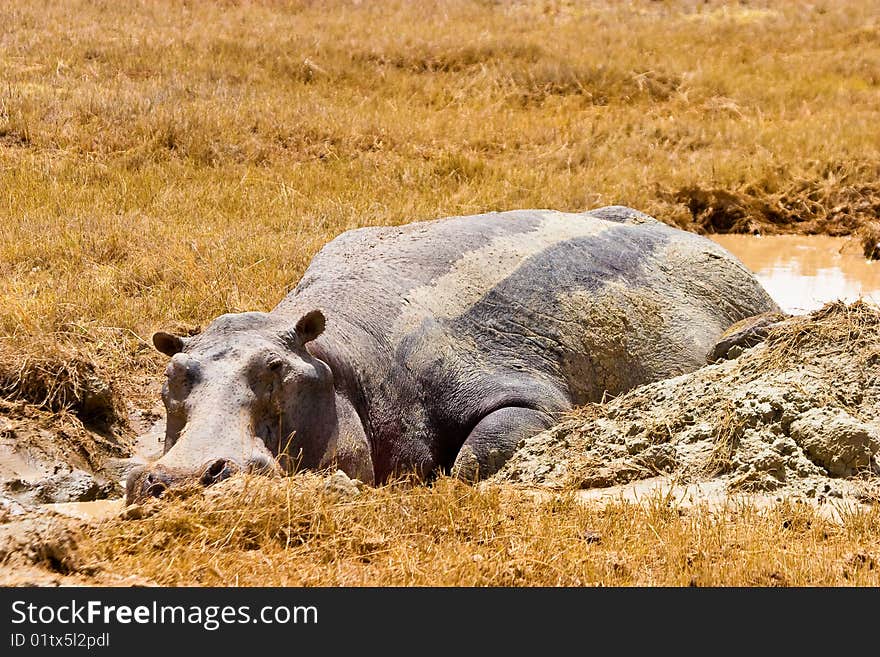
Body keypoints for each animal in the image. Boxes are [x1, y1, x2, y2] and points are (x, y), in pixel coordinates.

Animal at [125, 208, 776, 500]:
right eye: (175, 374)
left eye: (276, 370)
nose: (181, 476)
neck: (338, 362)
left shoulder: (501, 381)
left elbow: (490, 440)